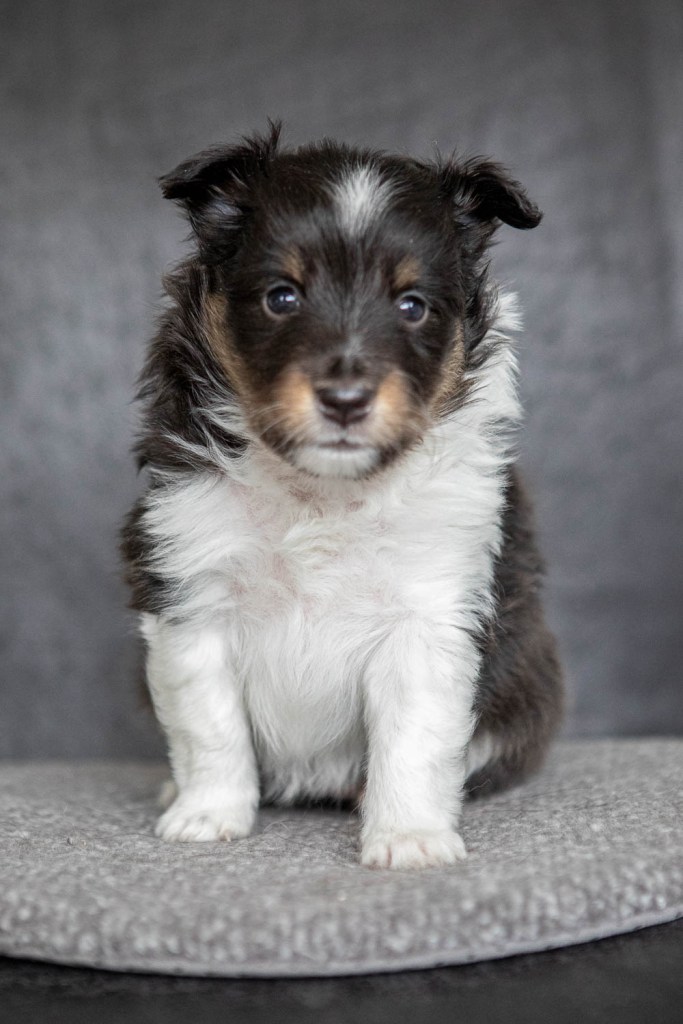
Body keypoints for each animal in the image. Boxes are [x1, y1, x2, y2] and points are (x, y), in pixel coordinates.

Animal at [121, 123, 563, 870]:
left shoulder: (429, 612)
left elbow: (414, 739)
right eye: (282, 296)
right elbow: (209, 725)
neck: (320, 492)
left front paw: (408, 838)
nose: (346, 400)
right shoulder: (190, 589)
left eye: (412, 306)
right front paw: (208, 814)